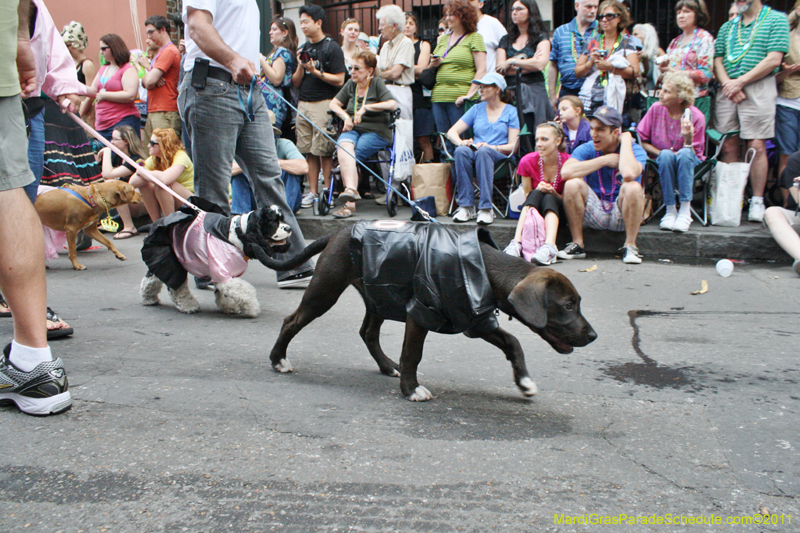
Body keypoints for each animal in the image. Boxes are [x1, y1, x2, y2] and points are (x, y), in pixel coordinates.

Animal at [253, 219, 596, 400]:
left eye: (578, 302)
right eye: (567, 305)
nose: (593, 336)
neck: (484, 268)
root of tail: (337, 233)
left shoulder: (474, 319)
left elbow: (513, 342)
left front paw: (523, 381)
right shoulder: (421, 312)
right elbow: (412, 354)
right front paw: (411, 389)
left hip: (380, 293)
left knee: (368, 333)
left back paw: (386, 366)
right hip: (325, 290)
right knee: (292, 321)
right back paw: (278, 359)